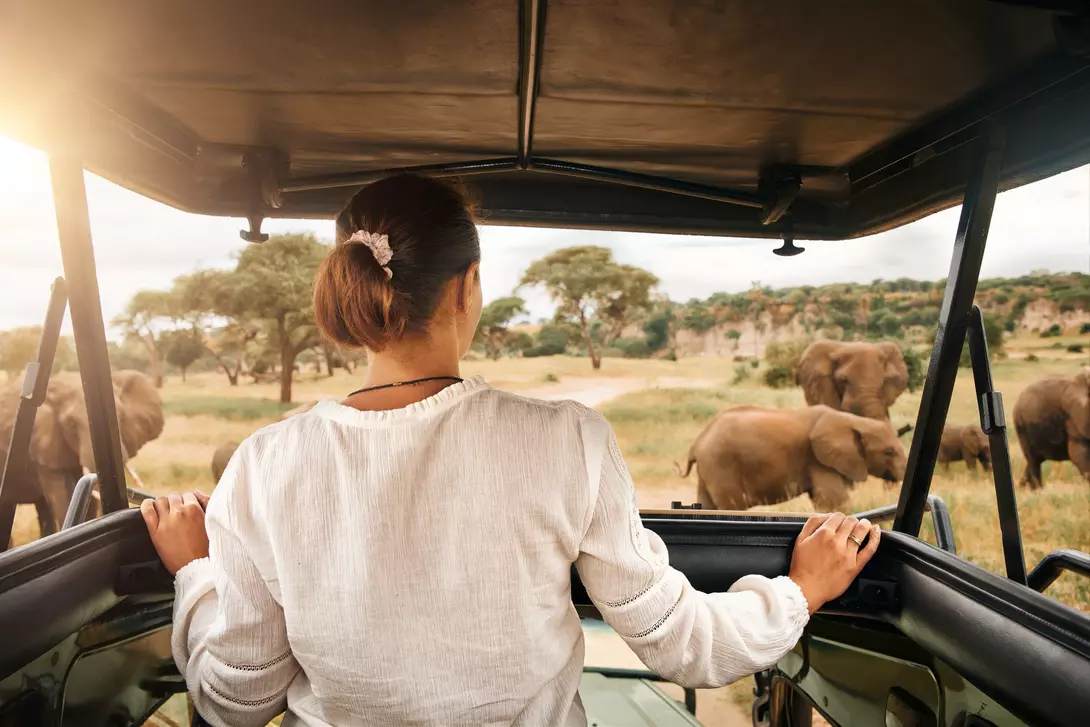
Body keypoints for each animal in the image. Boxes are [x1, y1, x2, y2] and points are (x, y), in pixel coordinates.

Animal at [677, 405, 907, 512]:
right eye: (888, 452)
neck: (854, 421)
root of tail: (697, 443)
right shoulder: (818, 460)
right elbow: (836, 502)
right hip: (721, 465)